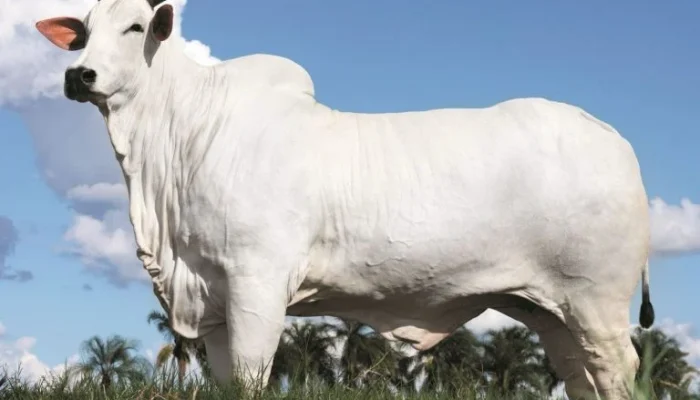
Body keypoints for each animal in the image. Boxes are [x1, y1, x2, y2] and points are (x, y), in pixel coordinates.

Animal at [36, 0, 655, 398]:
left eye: (135, 26)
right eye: (82, 31)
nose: (79, 75)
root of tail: (610, 136)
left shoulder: (257, 283)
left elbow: (252, 375)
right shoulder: (209, 295)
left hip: (596, 300)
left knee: (617, 366)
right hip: (550, 309)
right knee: (579, 374)